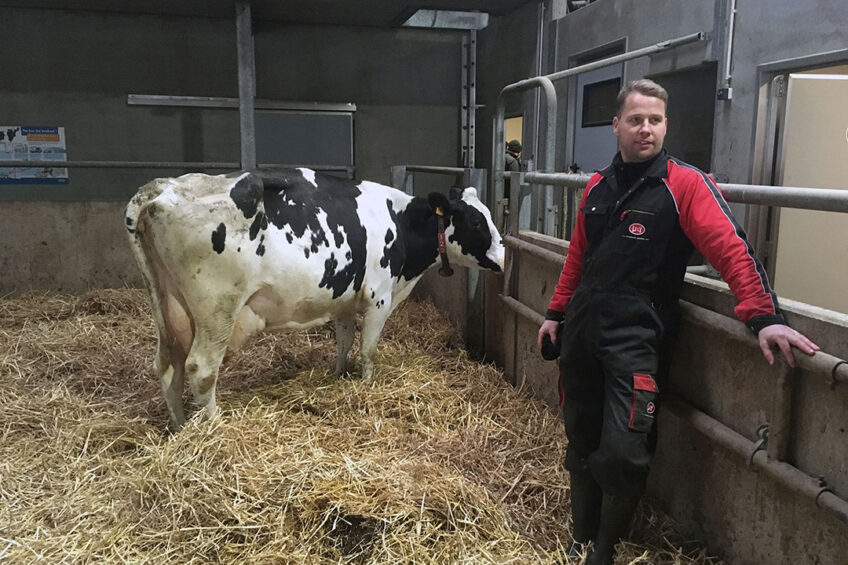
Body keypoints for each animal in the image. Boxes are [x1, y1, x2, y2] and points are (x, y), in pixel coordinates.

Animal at [126, 167, 504, 428]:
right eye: (475, 221)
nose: (503, 257)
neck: (400, 221)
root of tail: (162, 187)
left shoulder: (344, 298)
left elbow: (344, 340)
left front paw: (338, 375)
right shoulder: (378, 298)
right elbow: (368, 350)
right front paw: (366, 385)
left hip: (167, 305)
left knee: (167, 364)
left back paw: (179, 427)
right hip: (217, 308)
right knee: (201, 367)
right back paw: (213, 426)